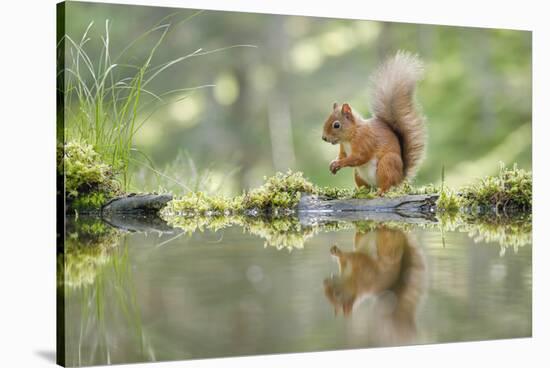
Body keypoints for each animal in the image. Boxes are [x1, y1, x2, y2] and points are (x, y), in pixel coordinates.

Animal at [322, 52, 430, 197]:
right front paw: (334, 163)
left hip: (387, 164)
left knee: (386, 184)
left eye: (336, 125)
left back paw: (380, 192)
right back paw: (361, 192)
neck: (351, 135)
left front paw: (340, 163)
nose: (324, 138)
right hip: (358, 175)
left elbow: (359, 157)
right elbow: (343, 155)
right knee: (366, 186)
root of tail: (399, 178)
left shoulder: (365, 140)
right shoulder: (343, 148)